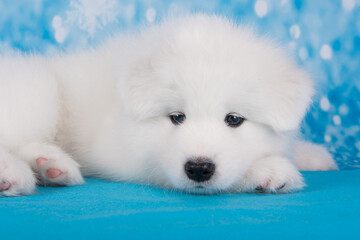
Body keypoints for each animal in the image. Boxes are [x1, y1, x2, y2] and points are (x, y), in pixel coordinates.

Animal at [0, 14, 338, 196]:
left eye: (234, 119)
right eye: (177, 117)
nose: (199, 168)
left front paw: (311, 155)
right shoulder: (125, 155)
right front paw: (266, 169)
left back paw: (50, 166)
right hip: (39, 90)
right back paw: (15, 173)